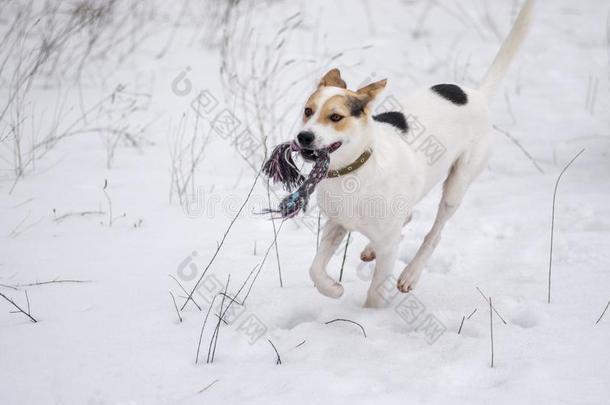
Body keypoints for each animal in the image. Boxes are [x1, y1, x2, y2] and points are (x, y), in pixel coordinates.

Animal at [296, 0, 532, 304]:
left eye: (335, 117)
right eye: (308, 111)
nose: (303, 137)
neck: (355, 170)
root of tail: (477, 95)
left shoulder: (386, 247)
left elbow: (375, 292)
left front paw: (368, 313)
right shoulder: (337, 224)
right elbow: (314, 269)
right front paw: (332, 289)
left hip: (457, 186)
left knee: (435, 233)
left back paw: (410, 274)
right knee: (408, 218)